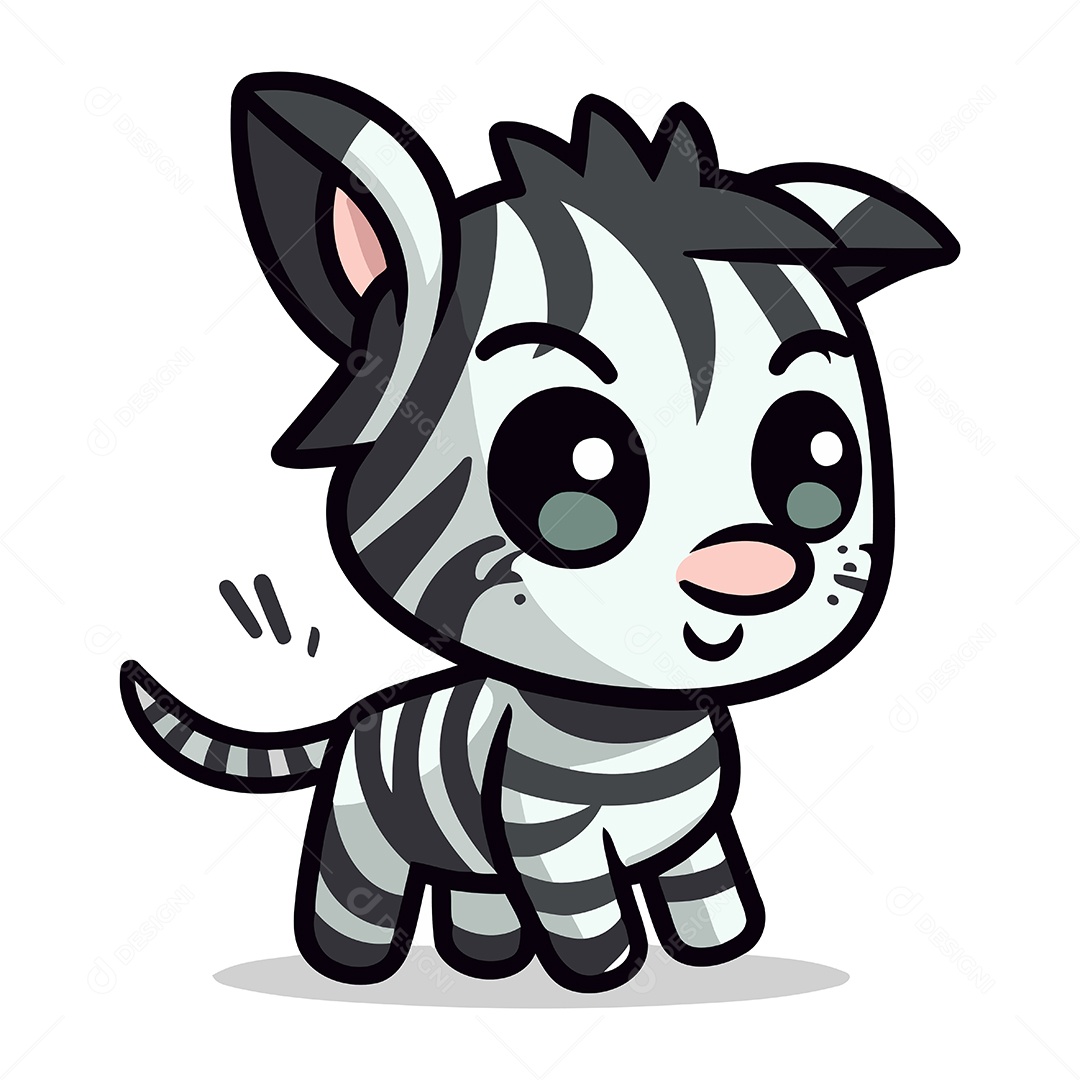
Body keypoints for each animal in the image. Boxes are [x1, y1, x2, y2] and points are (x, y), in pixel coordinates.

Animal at [121, 71, 959, 994]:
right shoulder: (553, 852)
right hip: (361, 839)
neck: (630, 731)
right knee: (355, 895)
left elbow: (708, 895)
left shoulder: (696, 839)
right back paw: (351, 963)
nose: (749, 572)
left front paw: (717, 950)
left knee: (476, 898)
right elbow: (591, 922)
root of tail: (356, 715)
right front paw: (608, 976)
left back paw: (485, 962)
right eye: (572, 466)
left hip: (468, 862)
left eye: (820, 452)